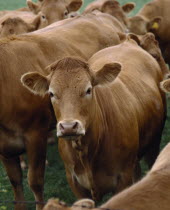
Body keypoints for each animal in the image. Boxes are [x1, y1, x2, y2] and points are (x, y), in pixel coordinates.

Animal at [21, 38, 167, 202]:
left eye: (88, 90)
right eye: (51, 93)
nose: (69, 127)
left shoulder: (123, 177)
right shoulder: (74, 181)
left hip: (153, 144)